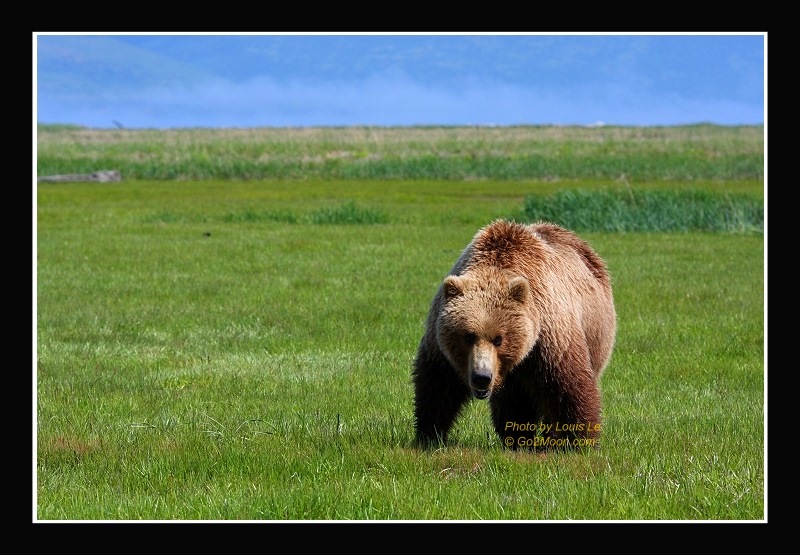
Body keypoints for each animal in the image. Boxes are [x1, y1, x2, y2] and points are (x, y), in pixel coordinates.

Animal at [412, 219, 620, 450]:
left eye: (499, 339)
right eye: (468, 336)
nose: (482, 377)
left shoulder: (548, 337)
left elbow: (567, 385)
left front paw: (577, 440)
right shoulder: (440, 344)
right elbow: (438, 384)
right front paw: (428, 435)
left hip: (597, 335)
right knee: (514, 400)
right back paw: (517, 437)